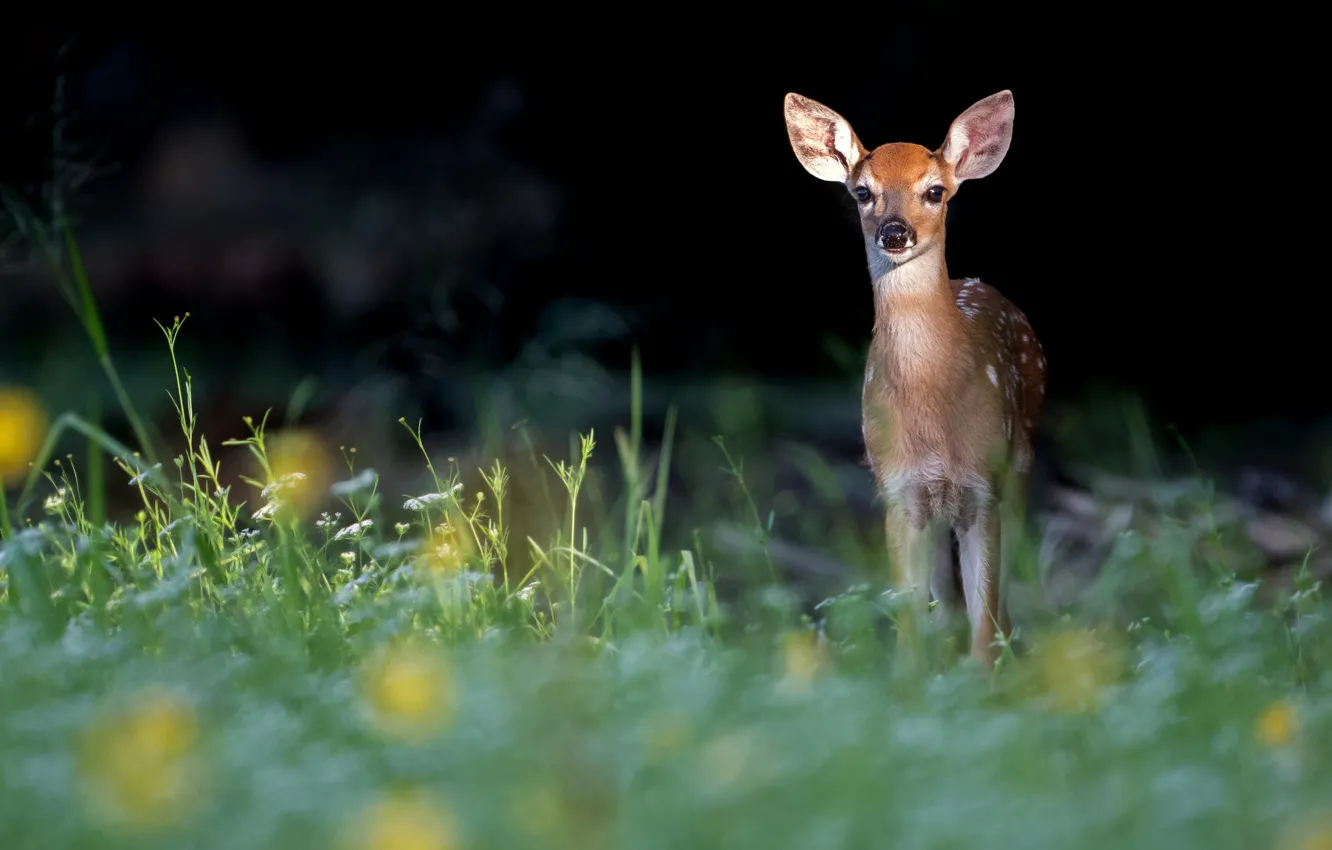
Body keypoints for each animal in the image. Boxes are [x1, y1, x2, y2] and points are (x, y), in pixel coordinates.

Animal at [777, 87, 1049, 671]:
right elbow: (910, 621)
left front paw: (984, 679)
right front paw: (912, 680)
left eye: (934, 191)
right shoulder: (899, 490)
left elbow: (985, 619)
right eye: (862, 192)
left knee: (1001, 601)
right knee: (946, 605)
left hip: (1020, 465)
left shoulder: (982, 485)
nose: (895, 232)